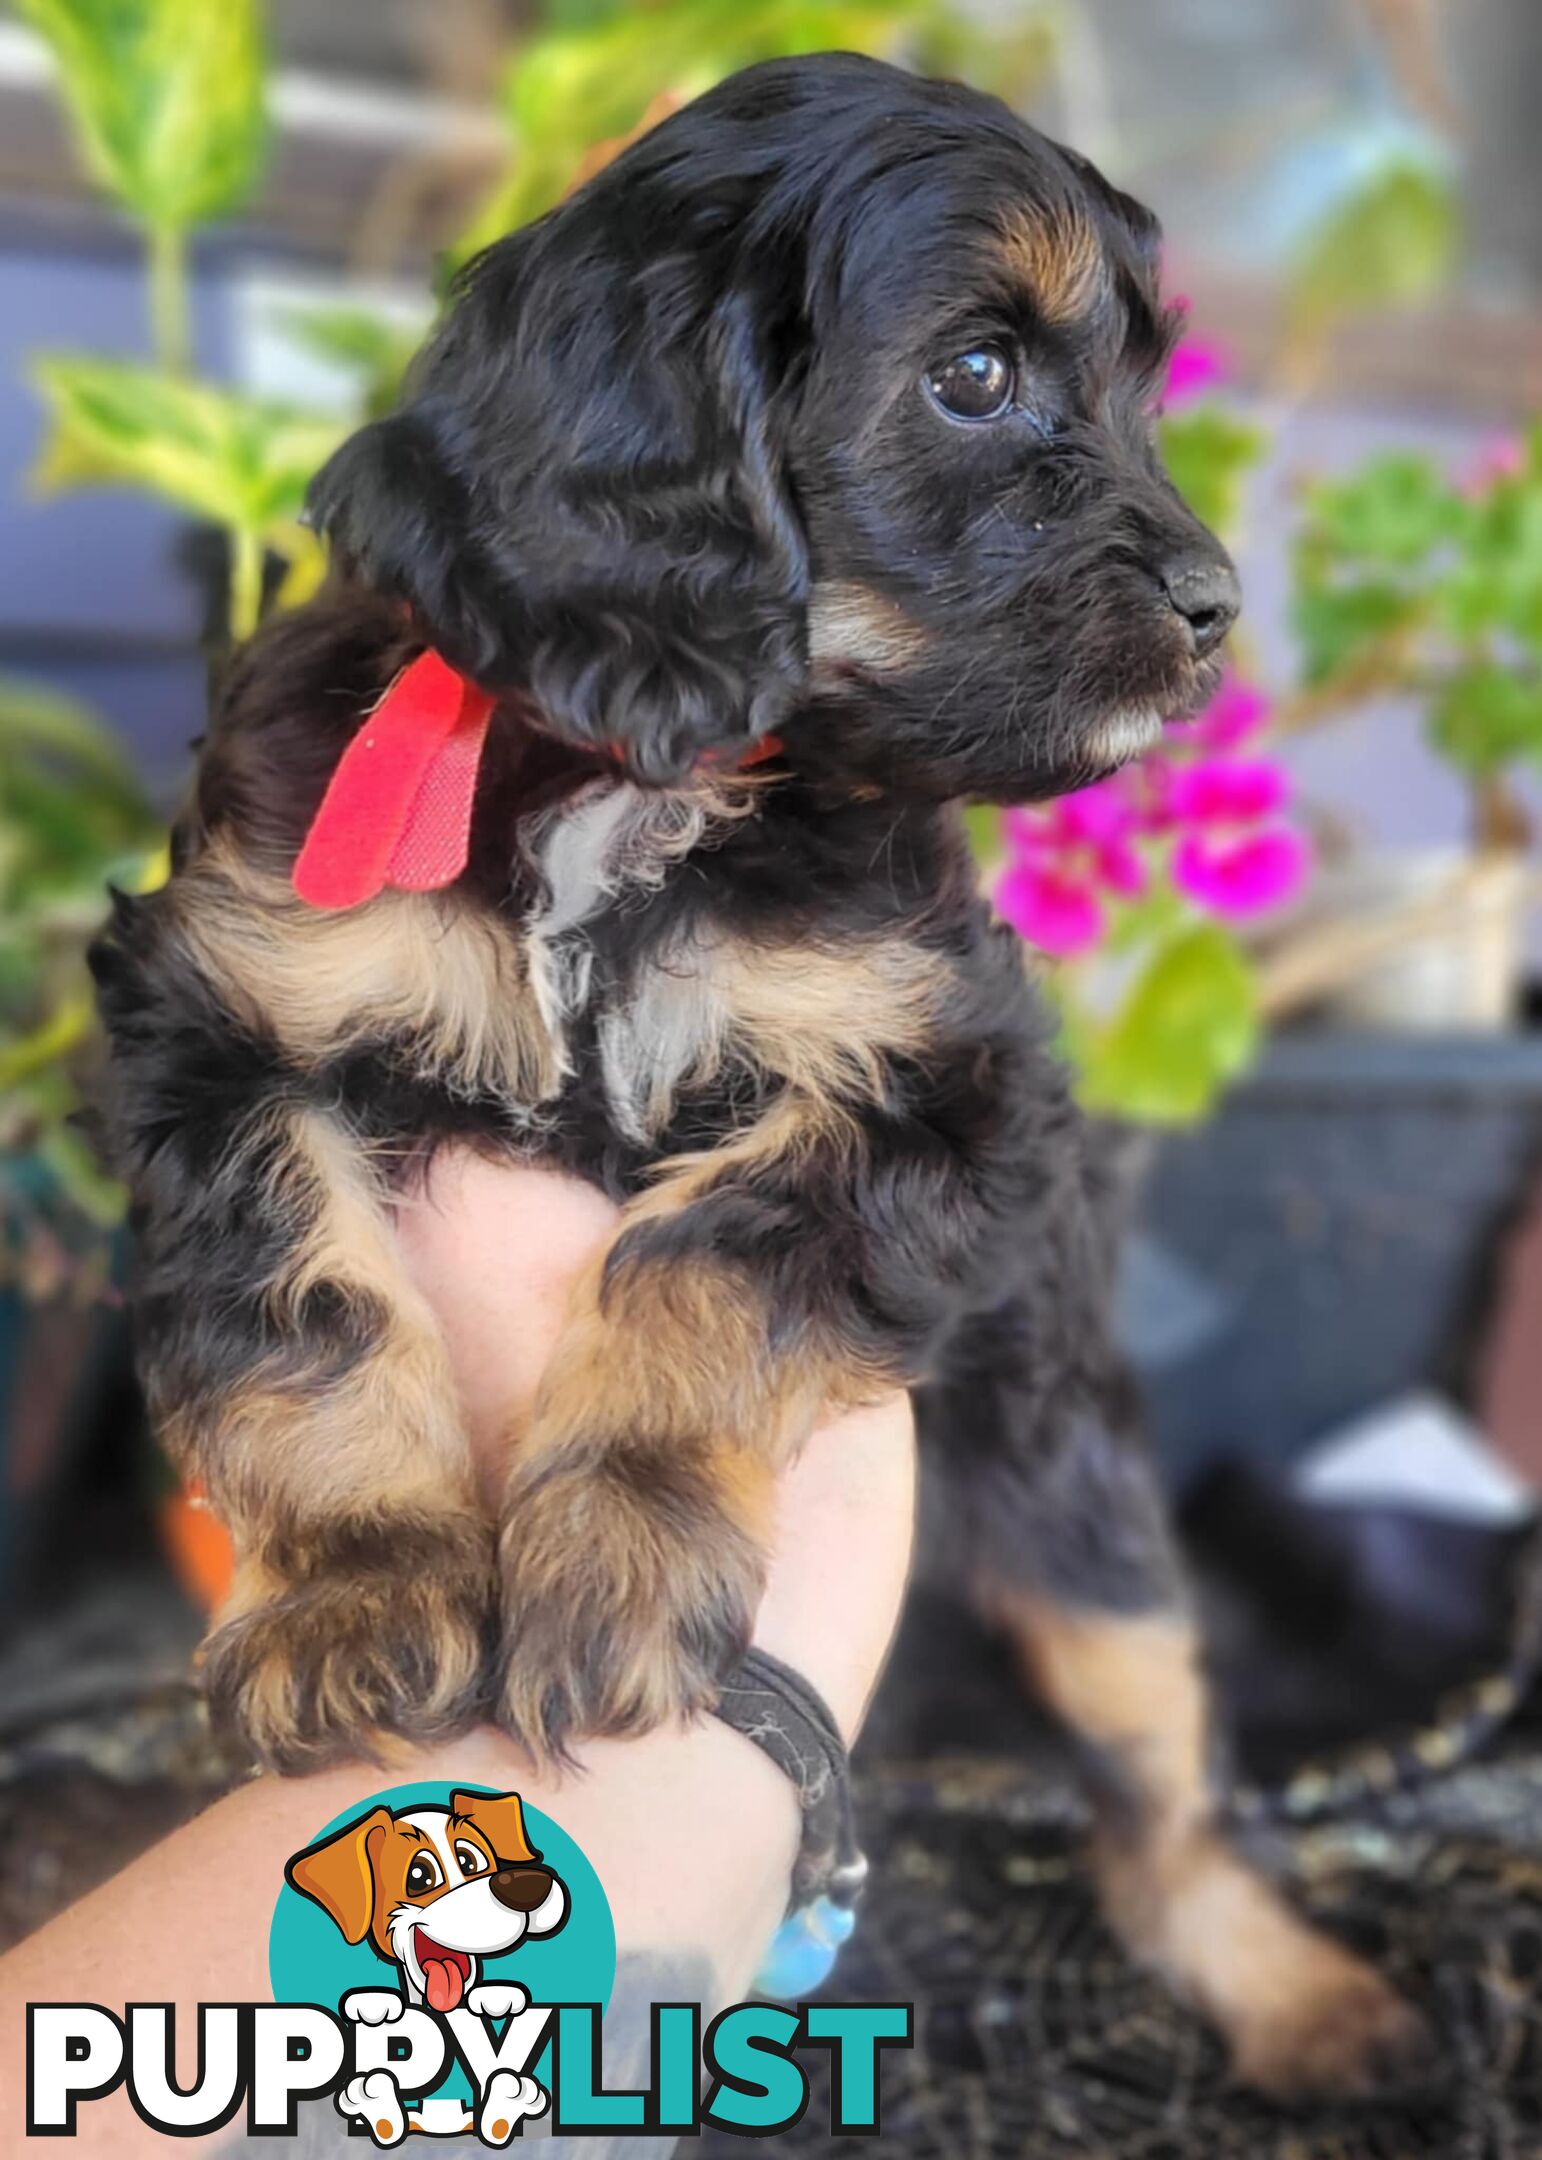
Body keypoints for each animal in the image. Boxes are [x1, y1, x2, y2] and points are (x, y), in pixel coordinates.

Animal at [92, 59, 1416, 2099]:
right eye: (975, 374)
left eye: (1141, 381)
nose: (1215, 613)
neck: (644, 775)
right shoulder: (226, 1012)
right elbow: (297, 1303)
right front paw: (353, 1592)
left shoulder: (941, 1088)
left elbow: (708, 1262)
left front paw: (617, 1558)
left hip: (1089, 1533)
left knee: (1155, 1792)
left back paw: (1292, 1994)